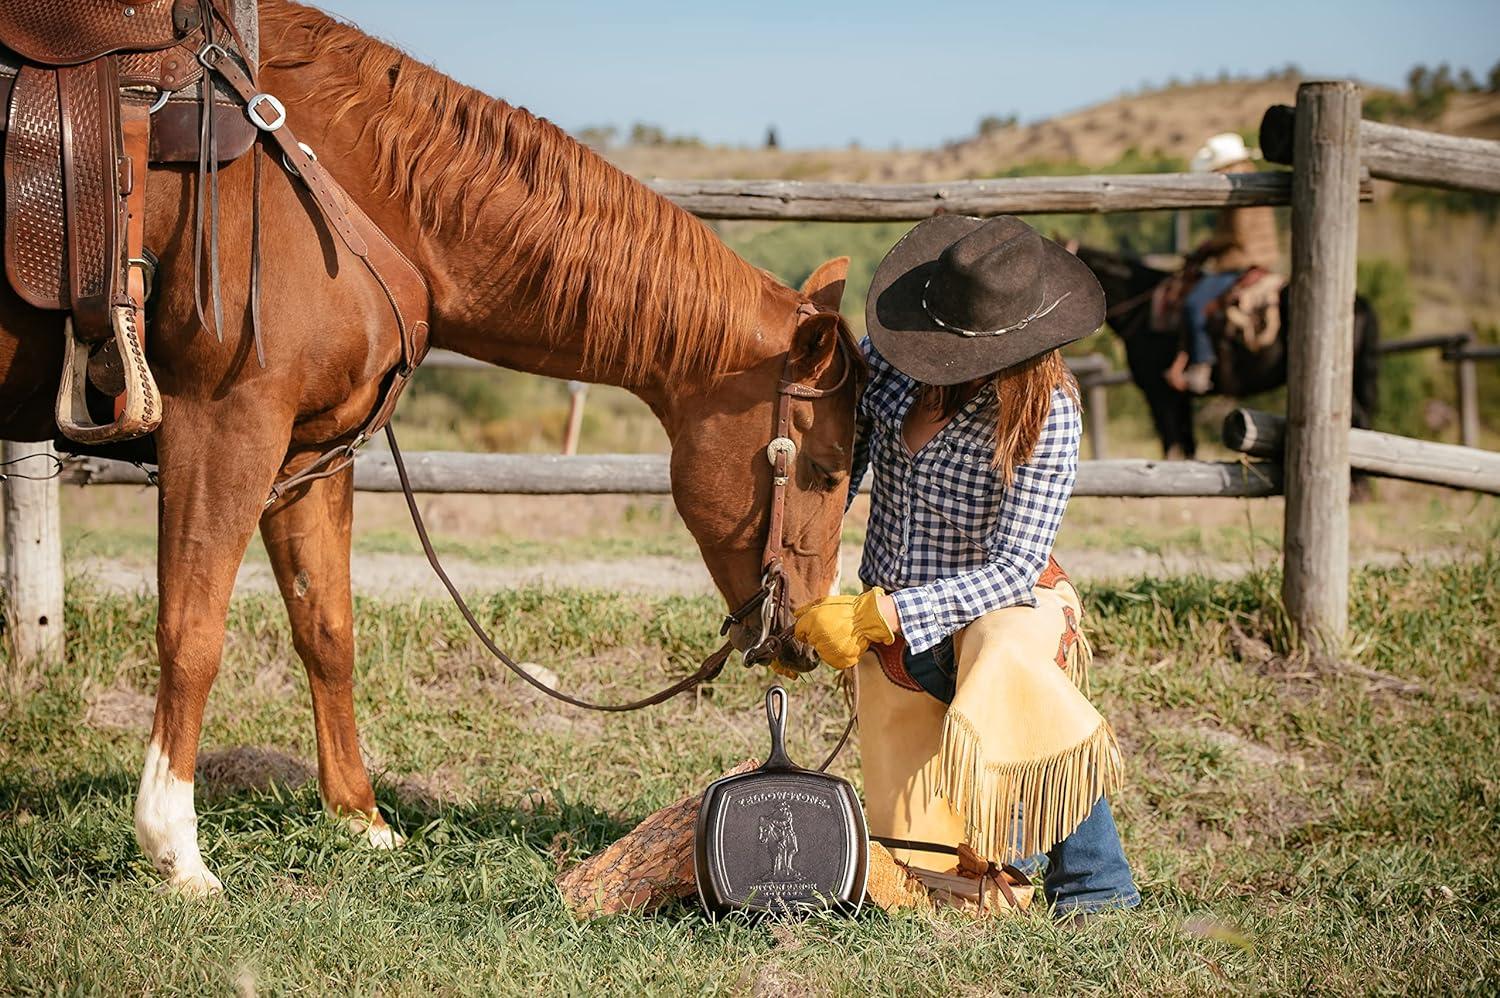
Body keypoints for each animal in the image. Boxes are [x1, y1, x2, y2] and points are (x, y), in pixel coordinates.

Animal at [0, 0, 864, 888]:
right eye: (826, 468)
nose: (808, 637)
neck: (326, 174)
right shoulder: (224, 425)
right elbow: (192, 630)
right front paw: (175, 848)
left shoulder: (307, 454)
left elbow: (328, 629)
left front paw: (361, 821)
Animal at [1074, 243, 1374, 456]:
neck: (1142, 309)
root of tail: (1357, 304)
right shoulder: (1178, 396)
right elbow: (1186, 445)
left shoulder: (1160, 392)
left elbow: (1172, 443)